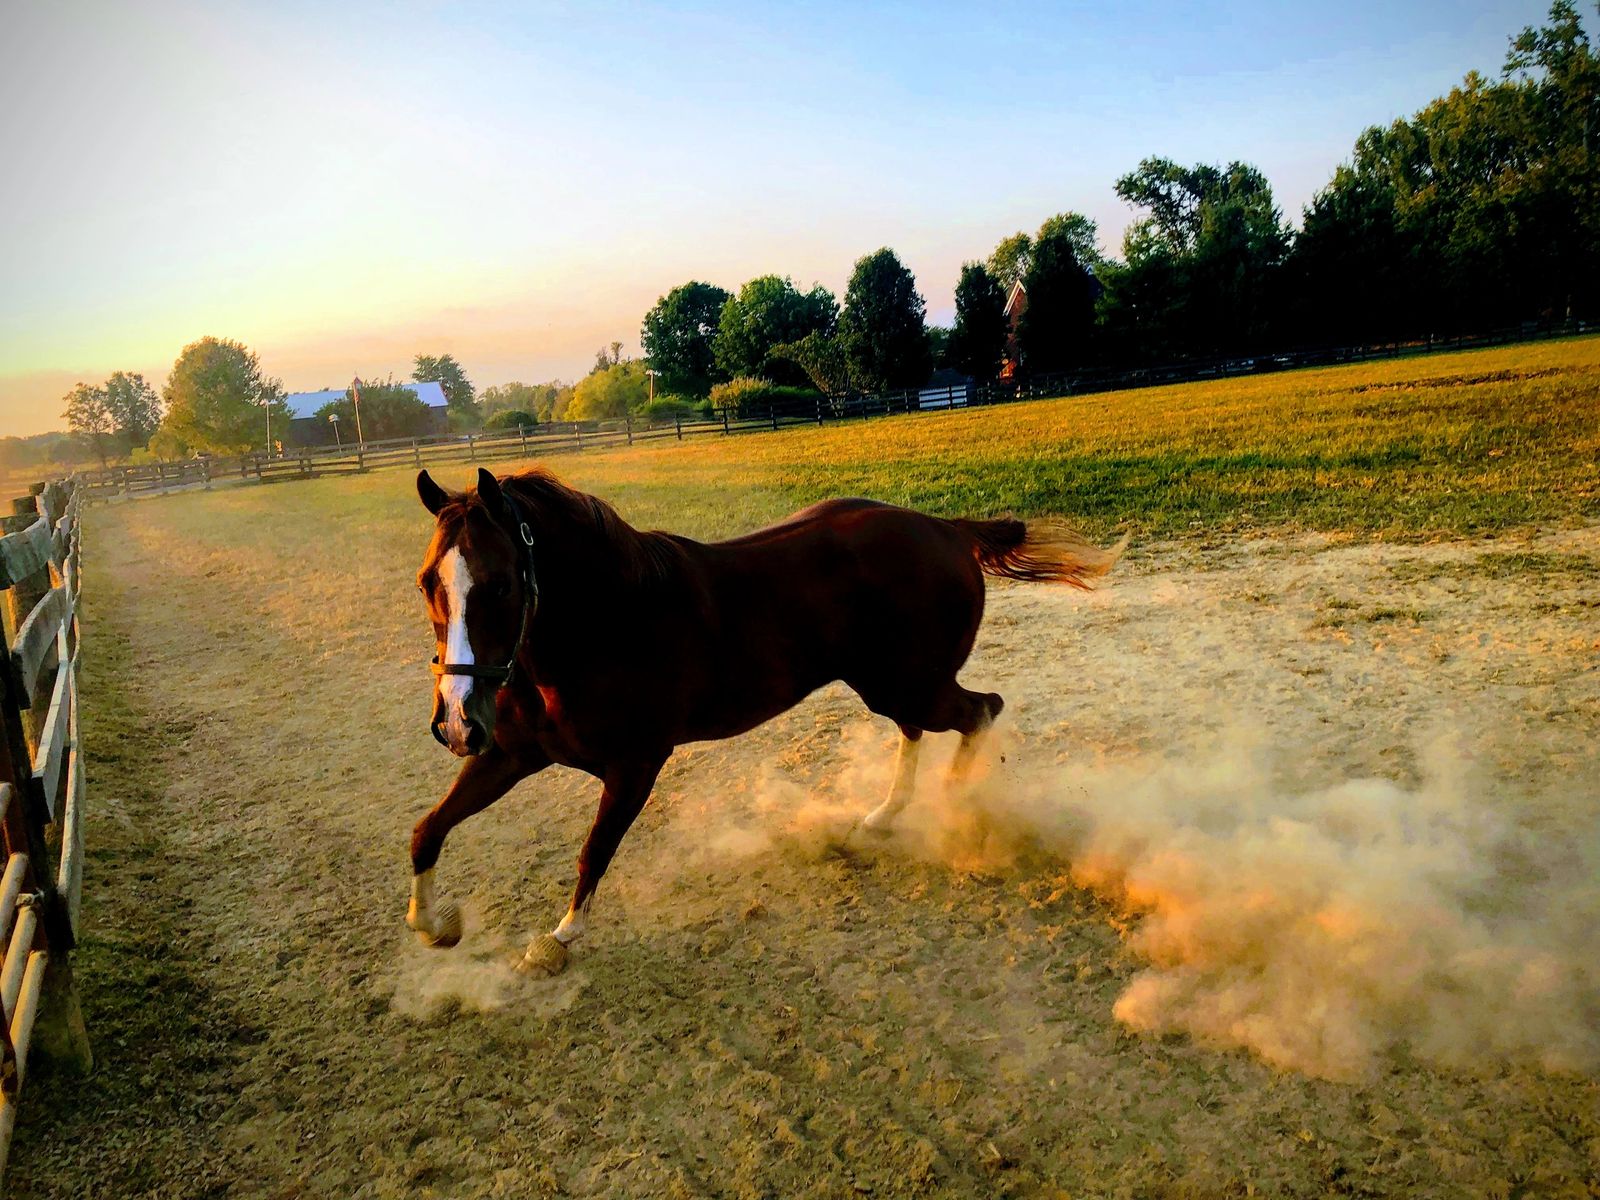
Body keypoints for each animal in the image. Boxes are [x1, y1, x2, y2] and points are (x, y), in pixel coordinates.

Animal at [407, 466, 1121, 976]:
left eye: (500, 584)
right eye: (426, 583)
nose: (456, 723)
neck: (608, 624)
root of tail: (944, 529)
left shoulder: (635, 767)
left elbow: (593, 852)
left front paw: (558, 940)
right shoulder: (511, 755)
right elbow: (427, 831)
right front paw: (438, 926)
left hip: (911, 684)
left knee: (981, 711)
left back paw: (955, 808)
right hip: (894, 685)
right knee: (923, 728)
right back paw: (881, 817)